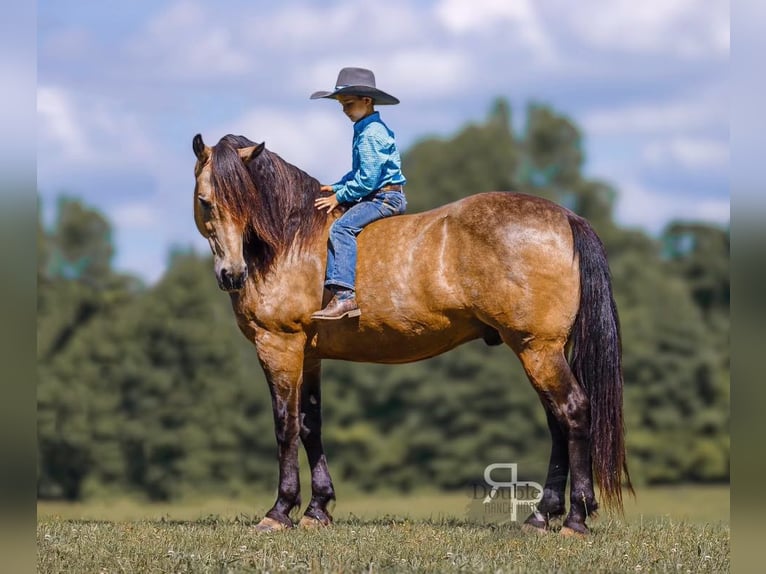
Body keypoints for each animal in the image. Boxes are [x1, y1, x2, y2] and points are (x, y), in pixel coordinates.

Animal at [194, 133, 636, 536]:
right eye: (205, 201)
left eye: (222, 198)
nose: (232, 274)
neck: (291, 241)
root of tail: (567, 218)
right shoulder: (310, 355)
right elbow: (310, 425)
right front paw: (318, 510)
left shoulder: (279, 345)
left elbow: (284, 425)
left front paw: (280, 510)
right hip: (542, 351)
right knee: (558, 422)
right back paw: (542, 516)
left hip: (537, 349)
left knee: (573, 412)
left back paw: (575, 518)